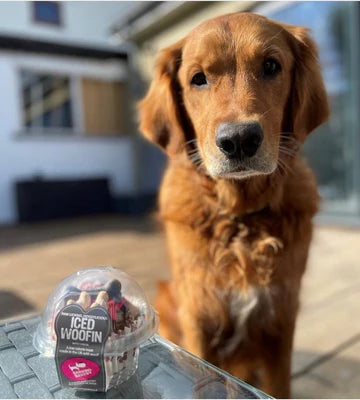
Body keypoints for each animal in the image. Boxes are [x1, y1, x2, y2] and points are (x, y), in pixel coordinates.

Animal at [139, 12, 330, 396]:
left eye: (271, 66)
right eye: (198, 79)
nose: (239, 140)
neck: (241, 218)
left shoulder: (281, 322)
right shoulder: (199, 321)